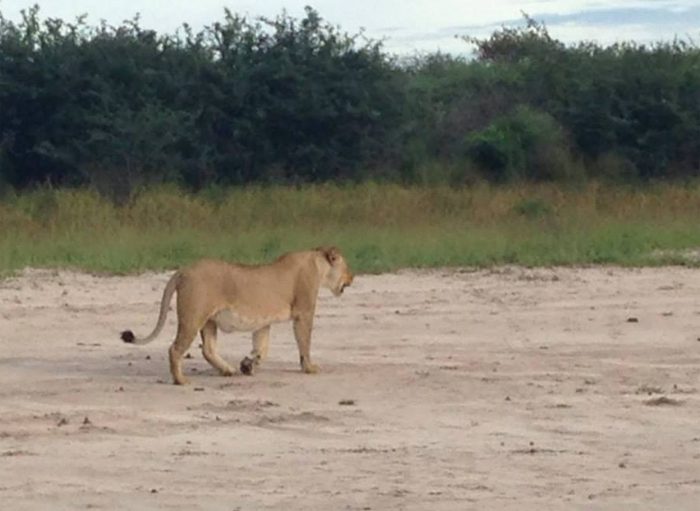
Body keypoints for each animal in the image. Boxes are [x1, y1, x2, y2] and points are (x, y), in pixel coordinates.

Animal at [120, 246, 354, 385]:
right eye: (346, 266)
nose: (353, 277)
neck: (317, 263)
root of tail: (183, 270)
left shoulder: (263, 322)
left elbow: (262, 348)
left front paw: (248, 366)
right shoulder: (303, 313)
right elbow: (304, 342)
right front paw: (310, 367)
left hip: (209, 320)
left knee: (208, 349)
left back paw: (228, 370)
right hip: (193, 317)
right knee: (175, 349)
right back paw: (181, 380)